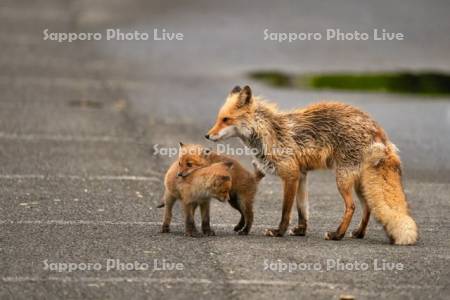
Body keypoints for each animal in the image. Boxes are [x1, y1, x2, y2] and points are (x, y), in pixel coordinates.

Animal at [206, 85, 416, 245]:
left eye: (226, 119)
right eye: (218, 119)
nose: (207, 136)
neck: (270, 134)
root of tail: (377, 128)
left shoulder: (290, 175)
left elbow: (286, 210)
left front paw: (279, 232)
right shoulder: (302, 175)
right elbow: (302, 209)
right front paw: (300, 230)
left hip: (342, 179)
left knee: (352, 207)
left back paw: (337, 234)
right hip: (357, 181)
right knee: (368, 207)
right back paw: (358, 233)